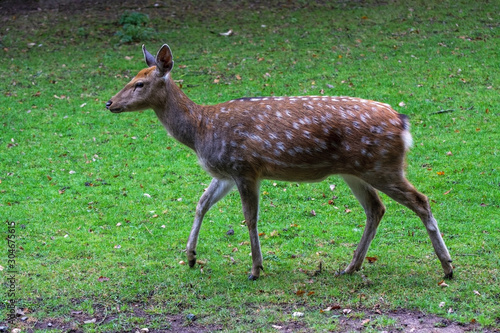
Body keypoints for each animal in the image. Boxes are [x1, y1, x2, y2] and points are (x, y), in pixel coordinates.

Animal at [107, 42, 456, 278]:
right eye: (131, 78)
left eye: (140, 83)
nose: (110, 103)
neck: (200, 130)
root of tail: (403, 124)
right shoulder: (225, 174)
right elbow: (201, 203)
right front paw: (191, 256)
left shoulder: (245, 168)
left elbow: (250, 218)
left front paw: (255, 269)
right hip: (355, 171)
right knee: (376, 208)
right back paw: (351, 266)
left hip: (382, 165)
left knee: (420, 200)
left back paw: (447, 266)